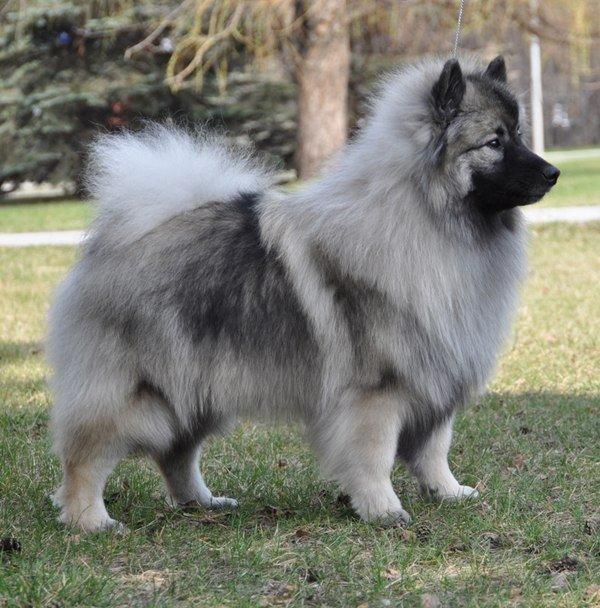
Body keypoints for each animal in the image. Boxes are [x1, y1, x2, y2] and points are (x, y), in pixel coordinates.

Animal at [47, 56, 559, 532]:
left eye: (519, 135)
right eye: (494, 142)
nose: (553, 172)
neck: (423, 218)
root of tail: (126, 235)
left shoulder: (433, 380)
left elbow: (434, 450)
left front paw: (448, 493)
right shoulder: (376, 391)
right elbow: (374, 456)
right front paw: (383, 510)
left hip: (196, 390)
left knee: (177, 454)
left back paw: (202, 502)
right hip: (135, 395)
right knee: (85, 459)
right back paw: (92, 521)